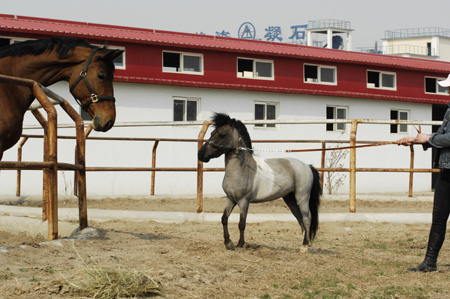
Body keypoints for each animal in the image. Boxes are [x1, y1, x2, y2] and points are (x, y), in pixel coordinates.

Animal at [199, 113, 322, 252]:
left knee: (307, 218)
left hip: (302, 197)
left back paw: (305, 246)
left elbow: (242, 223)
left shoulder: (244, 201)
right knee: (300, 219)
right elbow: (224, 218)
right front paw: (228, 243)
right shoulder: (230, 198)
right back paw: (303, 244)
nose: (200, 155)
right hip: (290, 199)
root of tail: (307, 166)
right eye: (211, 133)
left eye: (222, 134)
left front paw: (240, 244)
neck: (243, 169)